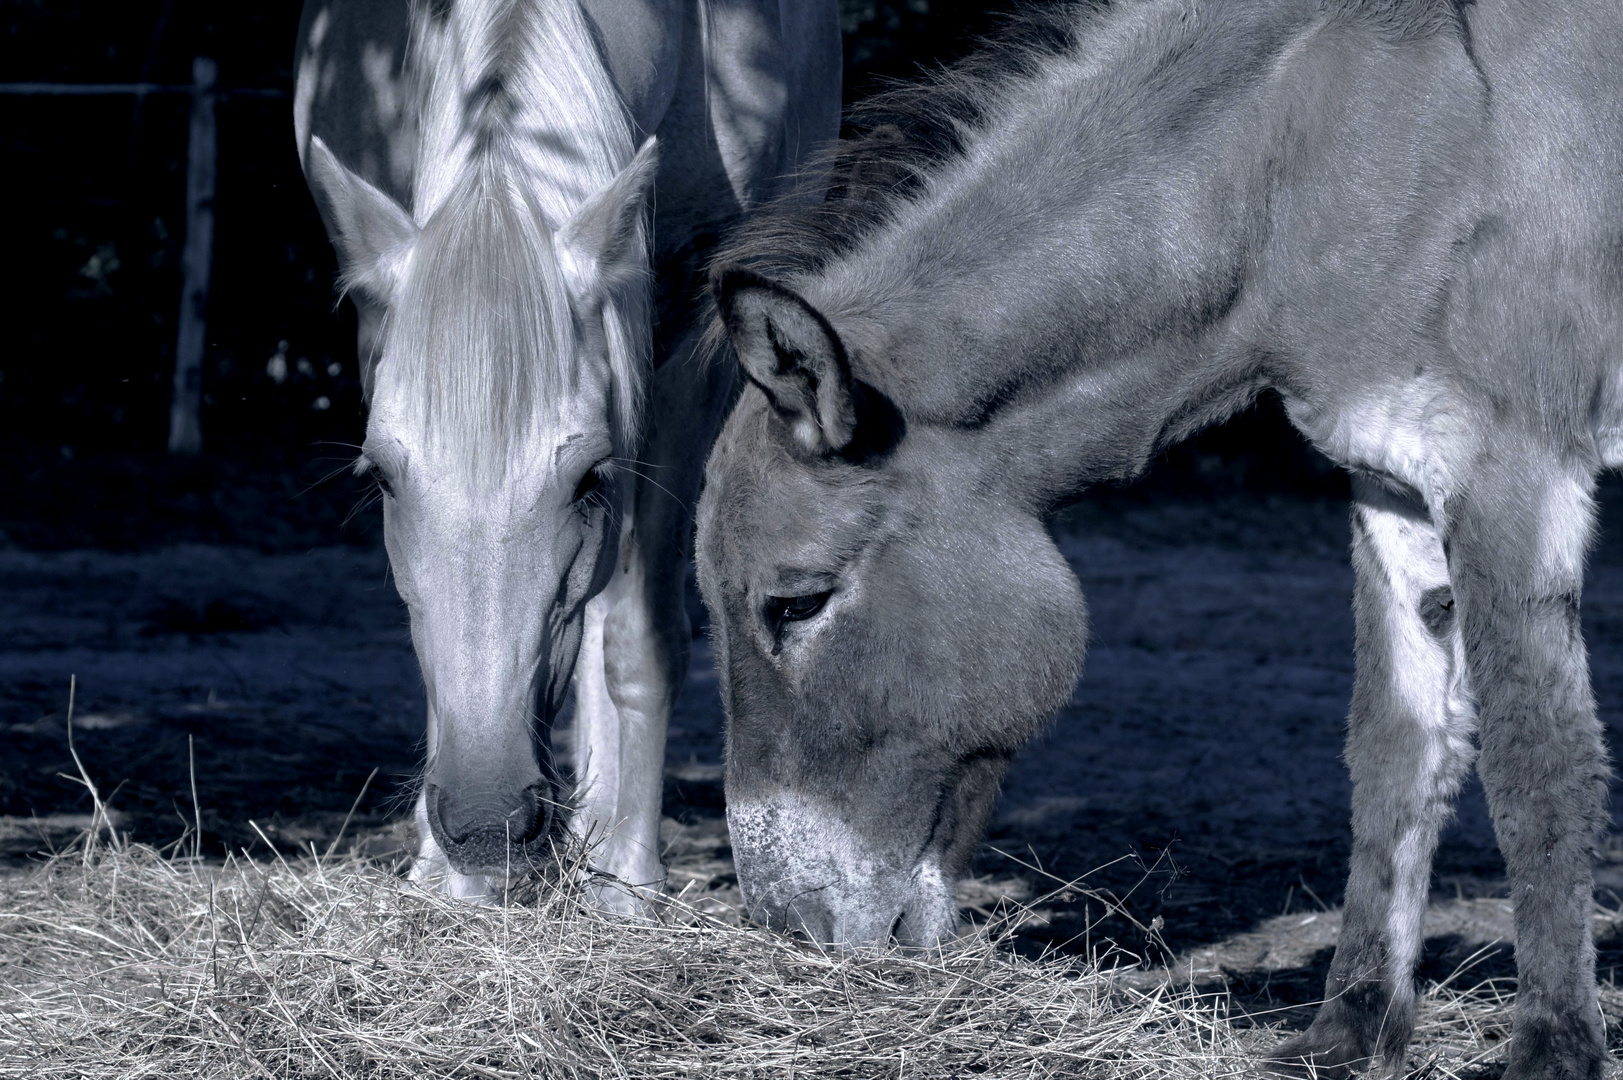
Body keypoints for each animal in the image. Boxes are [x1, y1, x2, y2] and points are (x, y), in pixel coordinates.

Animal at [293, 2, 843, 902]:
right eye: (382, 480)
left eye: (590, 478)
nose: (484, 824)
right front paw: (443, 876)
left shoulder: (692, 343)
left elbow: (636, 635)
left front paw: (627, 881)